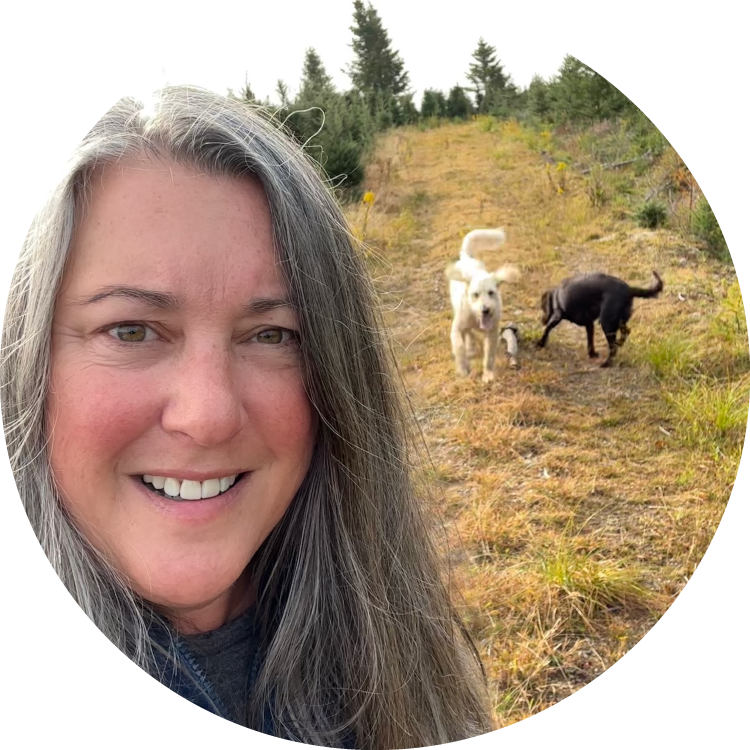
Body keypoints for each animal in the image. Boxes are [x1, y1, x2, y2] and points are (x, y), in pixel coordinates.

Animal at [445, 228, 520, 382]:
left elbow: (489, 357)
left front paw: (488, 375)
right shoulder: (456, 329)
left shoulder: (492, 333)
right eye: (475, 294)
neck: (476, 317)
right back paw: (470, 348)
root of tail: (466, 257)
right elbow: (459, 347)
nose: (485, 310)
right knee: (468, 332)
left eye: (491, 292)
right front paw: (463, 369)